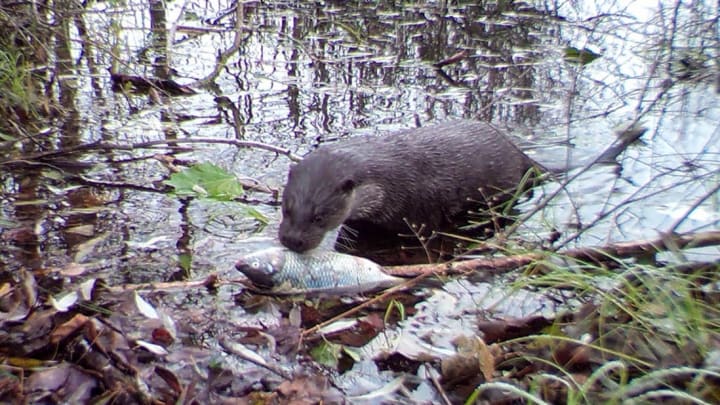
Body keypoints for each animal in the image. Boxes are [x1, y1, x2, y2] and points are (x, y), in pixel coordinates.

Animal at [278, 119, 536, 252]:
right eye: (286, 210)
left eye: (319, 217)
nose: (291, 240)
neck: (390, 182)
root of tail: (517, 150)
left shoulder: (422, 214)